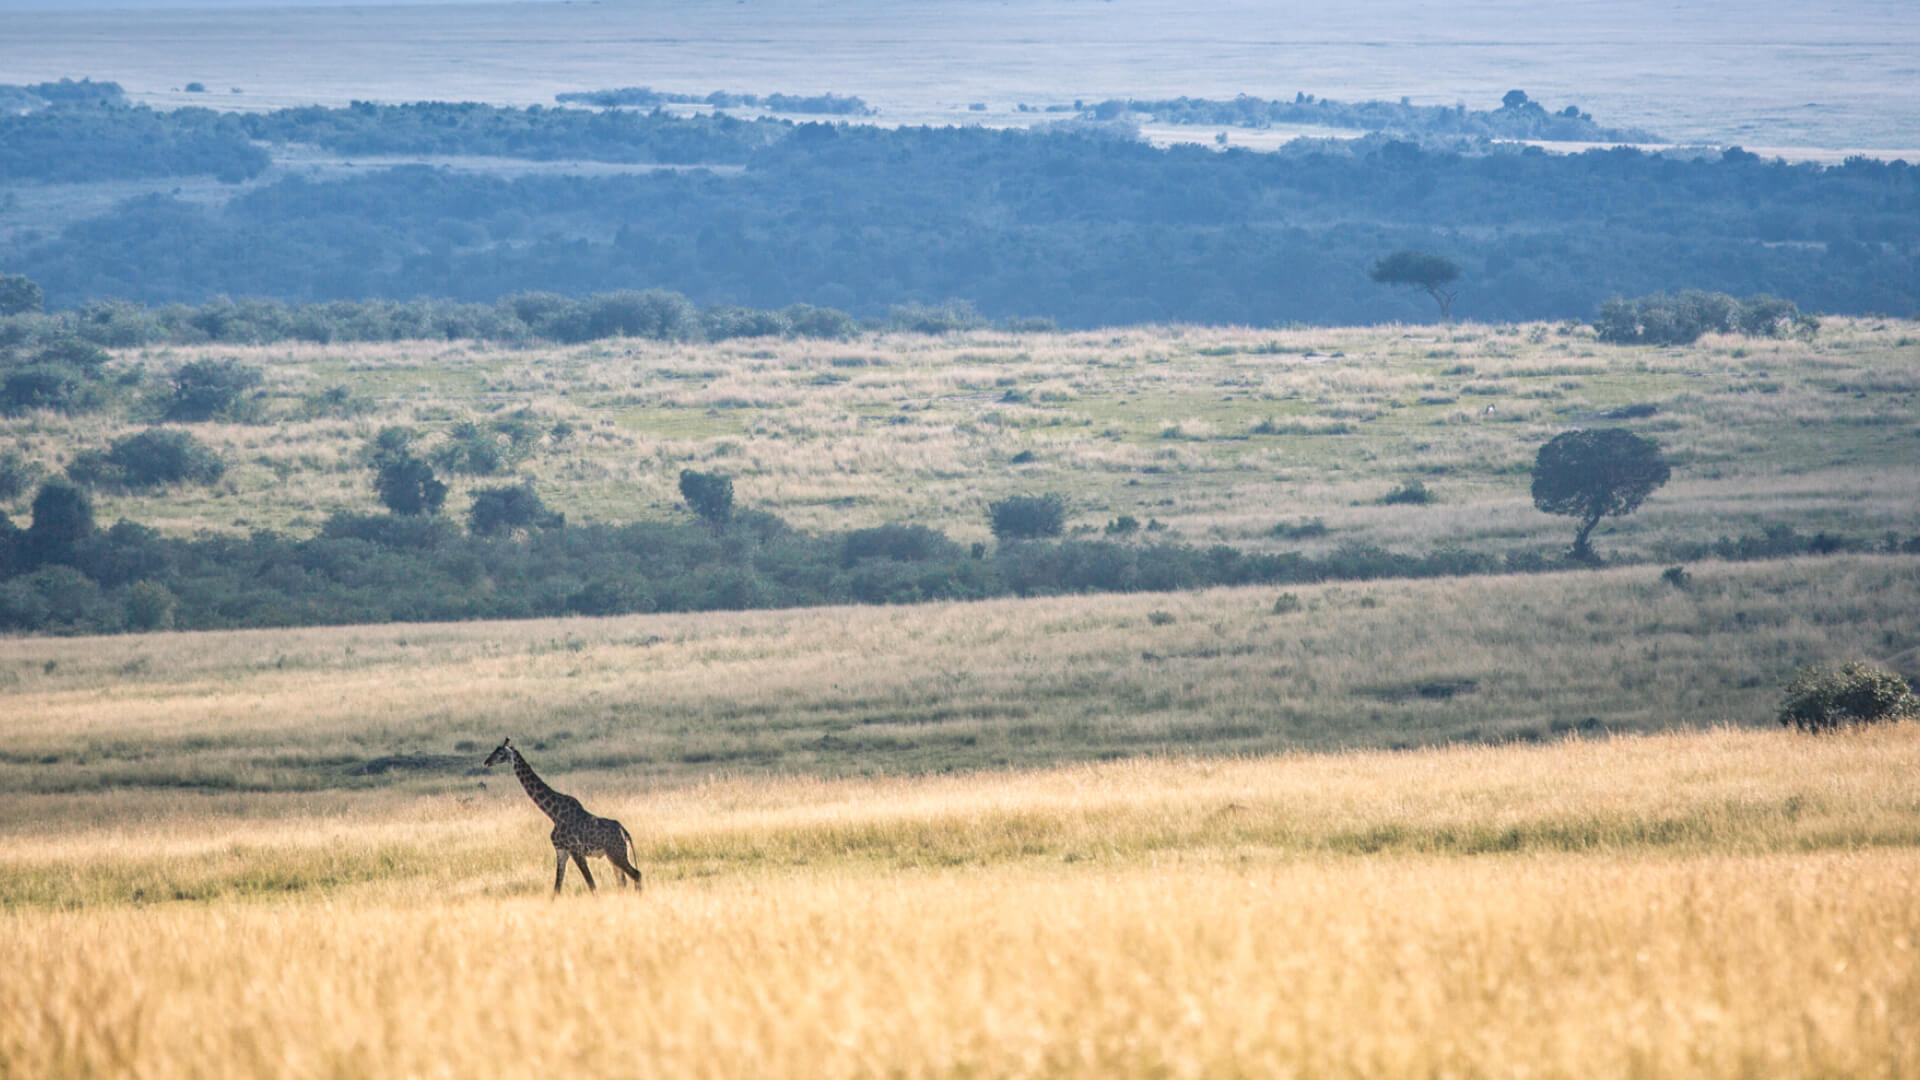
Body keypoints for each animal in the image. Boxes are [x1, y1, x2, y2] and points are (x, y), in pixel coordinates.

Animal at [483, 737, 643, 894]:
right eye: (494, 750)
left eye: (500, 753)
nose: (486, 762)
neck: (554, 814)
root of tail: (625, 832)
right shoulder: (561, 850)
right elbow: (557, 889)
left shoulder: (575, 850)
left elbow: (591, 885)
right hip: (613, 856)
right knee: (622, 882)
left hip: (616, 853)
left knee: (636, 874)